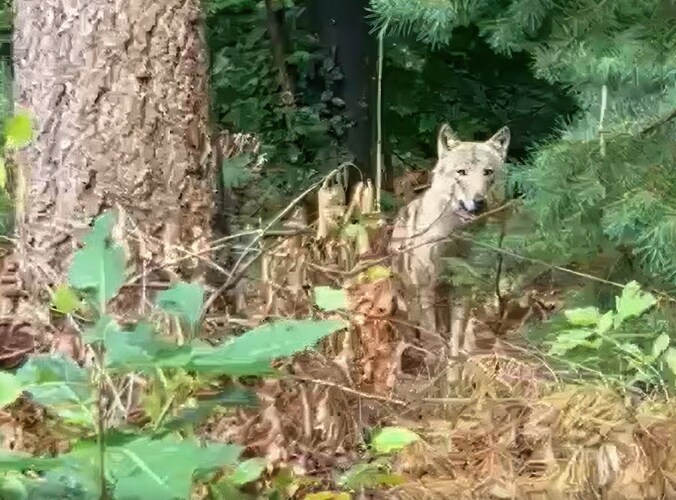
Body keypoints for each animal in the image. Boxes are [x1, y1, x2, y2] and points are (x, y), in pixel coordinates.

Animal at [388, 123, 510, 359]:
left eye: (488, 172)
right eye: (461, 172)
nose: (479, 201)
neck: (456, 237)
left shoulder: (463, 285)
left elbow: (457, 331)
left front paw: (455, 358)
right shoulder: (426, 286)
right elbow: (431, 334)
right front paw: (434, 359)